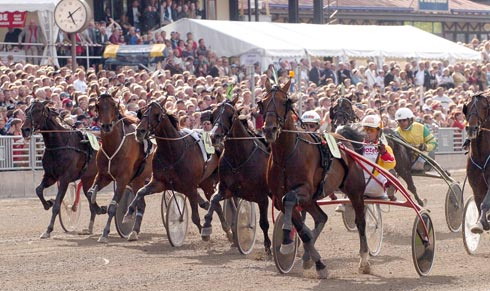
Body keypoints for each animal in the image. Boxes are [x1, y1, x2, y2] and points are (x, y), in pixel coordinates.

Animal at [21, 101, 106, 240]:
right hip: (88, 177)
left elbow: (56, 206)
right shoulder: (50, 176)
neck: (59, 144)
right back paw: (91, 224)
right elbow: (38, 190)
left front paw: (48, 230)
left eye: (38, 111)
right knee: (89, 195)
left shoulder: (65, 179)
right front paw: (48, 203)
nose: (25, 130)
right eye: (27, 110)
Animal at [88, 94, 153, 244]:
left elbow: (113, 207)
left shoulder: (122, 179)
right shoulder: (103, 176)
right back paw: (134, 232)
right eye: (98, 105)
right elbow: (90, 194)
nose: (106, 126)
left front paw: (104, 233)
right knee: (141, 205)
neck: (113, 146)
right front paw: (98, 208)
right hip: (137, 181)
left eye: (113, 104)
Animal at [124, 100, 218, 237]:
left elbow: (195, 217)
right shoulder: (159, 183)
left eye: (157, 114)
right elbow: (140, 192)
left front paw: (204, 231)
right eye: (142, 113)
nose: (139, 131)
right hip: (205, 182)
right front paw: (129, 212)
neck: (172, 152)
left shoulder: (190, 187)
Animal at [201, 96, 274, 256]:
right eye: (212, 115)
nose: (214, 136)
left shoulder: (261, 196)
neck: (239, 158)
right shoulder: (227, 190)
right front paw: (206, 227)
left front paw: (267, 246)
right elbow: (214, 200)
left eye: (231, 115)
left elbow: (263, 223)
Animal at [260, 79, 368, 278]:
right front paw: (315, 261)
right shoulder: (279, 198)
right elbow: (301, 228)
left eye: (285, 102)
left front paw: (287, 242)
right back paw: (308, 257)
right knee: (321, 218)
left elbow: (290, 200)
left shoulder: (303, 190)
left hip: (355, 191)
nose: (269, 129)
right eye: (261, 103)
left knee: (360, 222)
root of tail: (342, 137)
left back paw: (364, 260)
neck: (286, 156)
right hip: (311, 200)